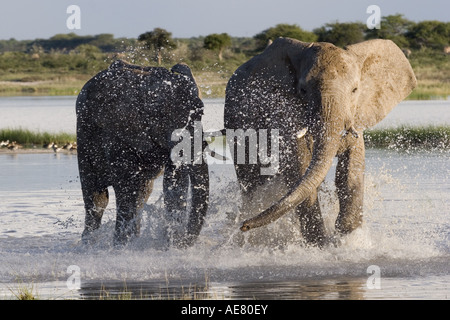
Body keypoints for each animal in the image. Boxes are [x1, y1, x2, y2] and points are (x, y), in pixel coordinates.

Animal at [76, 58, 210, 246]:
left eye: (201, 112)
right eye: (162, 116)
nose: (183, 241)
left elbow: (174, 183)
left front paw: (170, 244)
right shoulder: (117, 130)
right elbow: (126, 185)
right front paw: (120, 246)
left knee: (142, 193)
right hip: (83, 138)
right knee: (97, 196)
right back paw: (89, 244)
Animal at [225, 38, 418, 248]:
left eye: (355, 90)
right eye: (302, 90)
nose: (244, 226)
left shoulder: (356, 114)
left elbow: (351, 168)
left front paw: (349, 239)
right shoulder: (284, 113)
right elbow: (300, 167)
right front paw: (320, 245)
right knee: (252, 177)